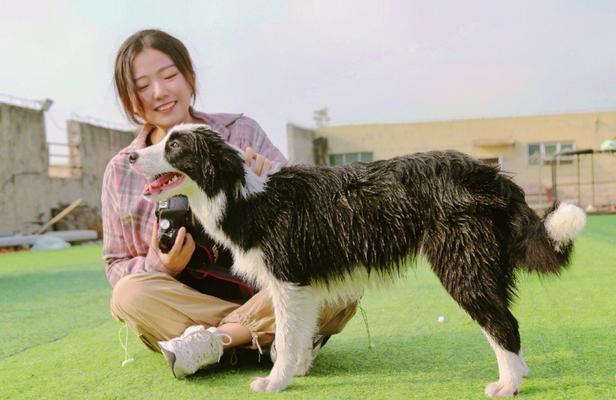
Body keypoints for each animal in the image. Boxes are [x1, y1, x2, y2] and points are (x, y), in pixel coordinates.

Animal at [129, 124, 588, 396]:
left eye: (174, 145)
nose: (130, 156)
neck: (244, 197)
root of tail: (490, 174)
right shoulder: (303, 287)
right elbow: (295, 337)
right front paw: (295, 371)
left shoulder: (288, 280)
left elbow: (285, 337)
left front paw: (275, 381)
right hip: (484, 262)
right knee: (504, 320)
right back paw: (518, 374)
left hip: (462, 264)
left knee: (502, 324)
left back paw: (507, 384)